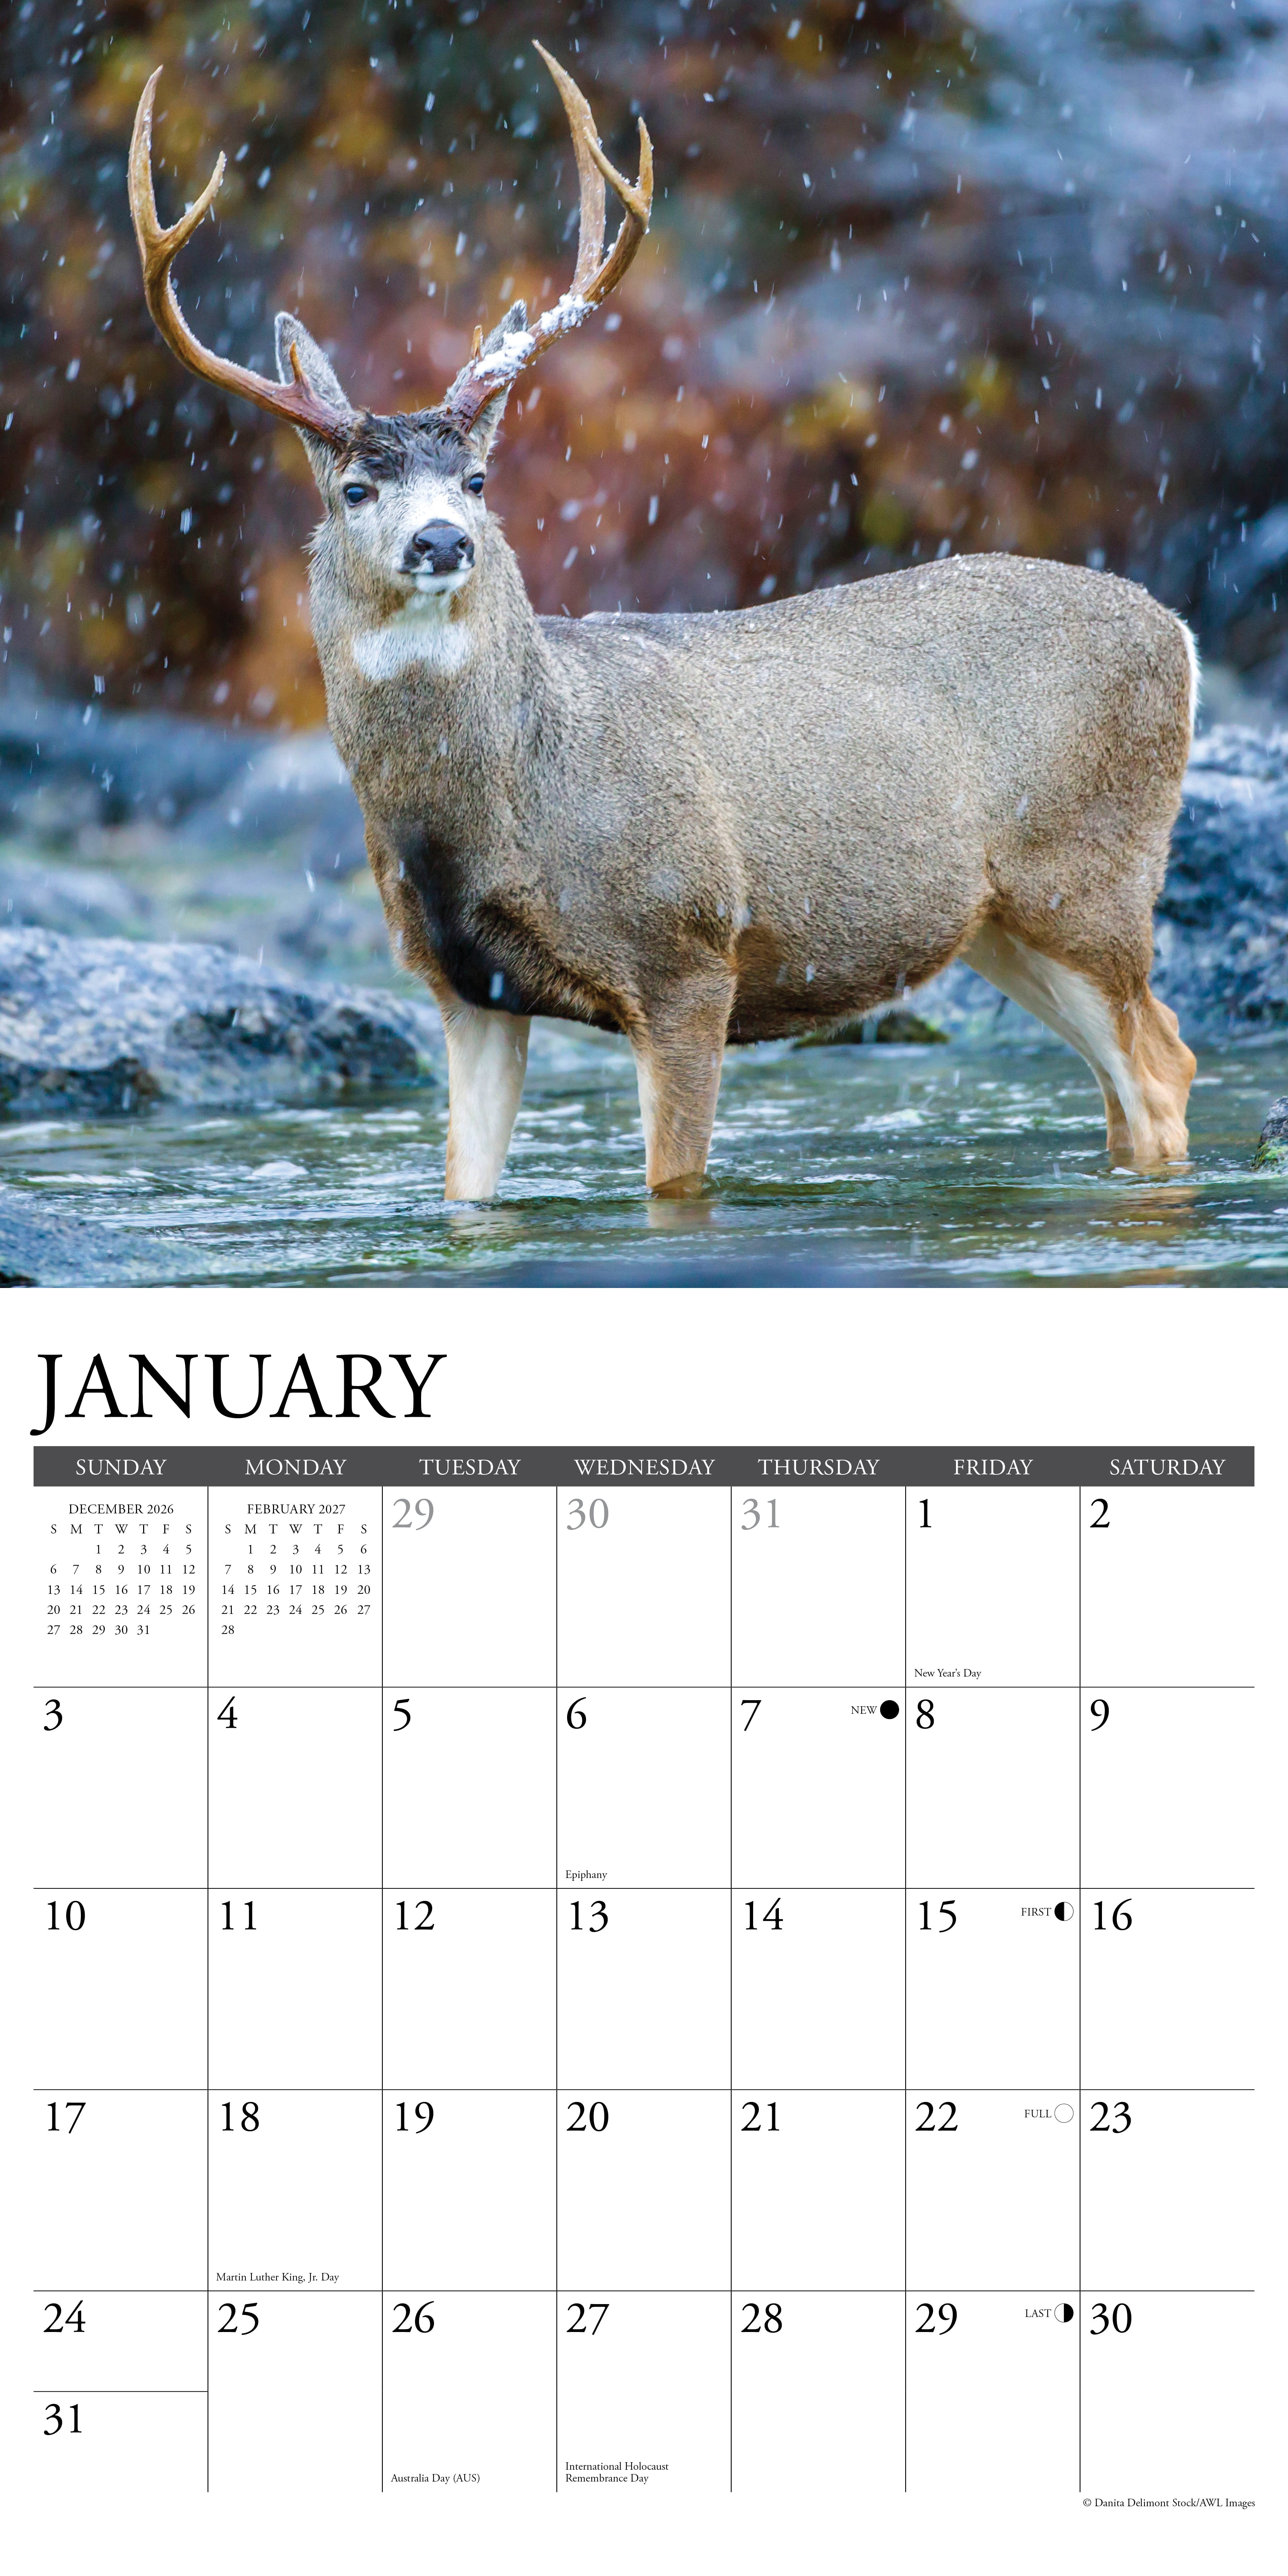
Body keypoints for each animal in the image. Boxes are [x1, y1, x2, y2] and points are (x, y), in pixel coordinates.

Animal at [129, 46, 1198, 1200]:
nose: (443, 541)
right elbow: (466, 1191)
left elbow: (673, 1185)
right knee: (1139, 1077)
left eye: (477, 479)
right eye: (357, 489)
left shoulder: (685, 948)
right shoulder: (465, 988)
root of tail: (1177, 633)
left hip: (1089, 874)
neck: (516, 791)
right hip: (1003, 919)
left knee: (1163, 1071)